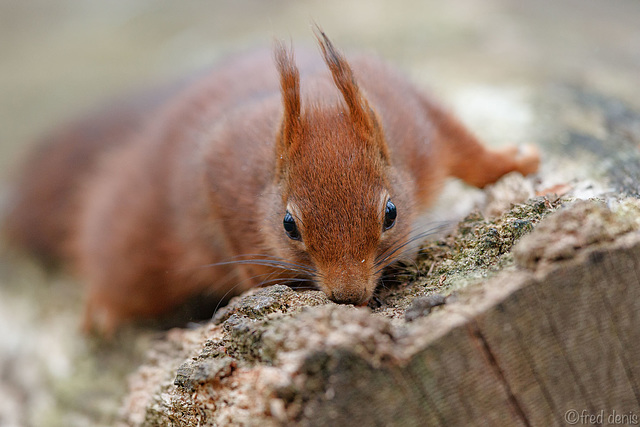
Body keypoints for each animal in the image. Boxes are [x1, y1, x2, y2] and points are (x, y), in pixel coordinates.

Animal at [2, 30, 536, 334]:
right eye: (288, 225)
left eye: (391, 214)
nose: (348, 296)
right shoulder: (221, 181)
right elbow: (247, 259)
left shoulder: (415, 120)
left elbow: (464, 147)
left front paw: (513, 163)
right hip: (134, 242)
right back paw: (102, 311)